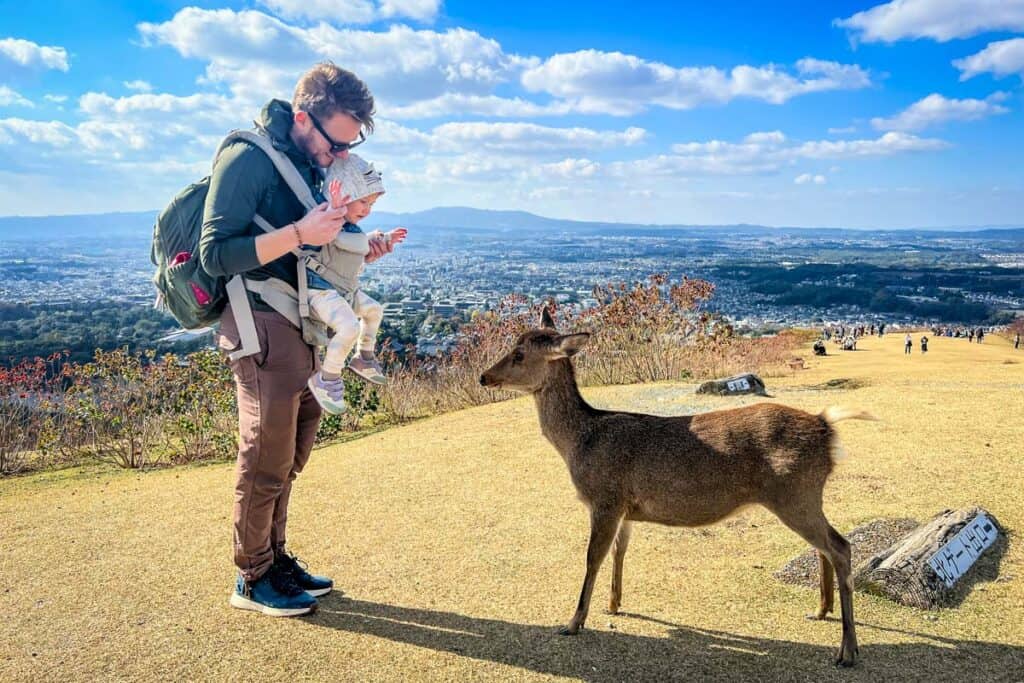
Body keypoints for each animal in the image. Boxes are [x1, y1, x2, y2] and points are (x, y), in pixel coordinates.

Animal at [477, 309, 872, 667]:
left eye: (519, 354)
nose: (484, 377)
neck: (580, 442)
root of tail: (827, 428)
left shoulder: (605, 497)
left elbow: (593, 557)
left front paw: (573, 622)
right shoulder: (626, 508)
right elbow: (620, 551)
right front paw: (614, 604)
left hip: (795, 493)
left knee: (840, 546)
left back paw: (848, 650)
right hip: (804, 496)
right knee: (826, 545)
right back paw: (821, 611)